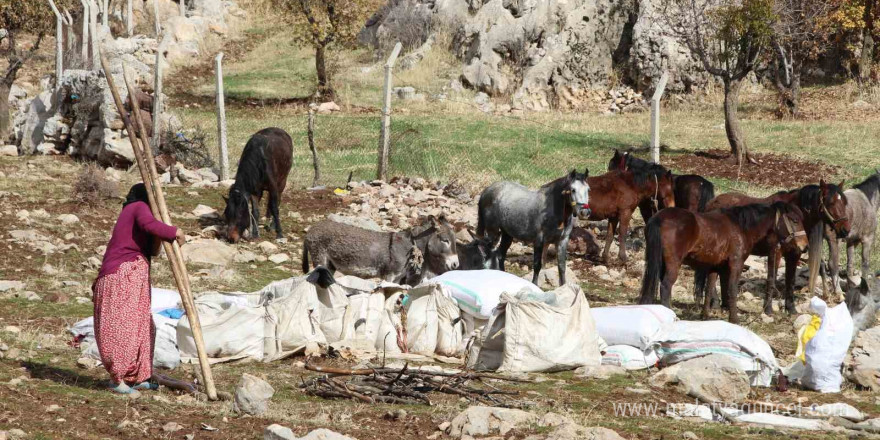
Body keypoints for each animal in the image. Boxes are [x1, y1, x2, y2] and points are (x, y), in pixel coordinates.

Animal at [636, 203, 808, 324]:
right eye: (795, 220)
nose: (805, 246)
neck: (740, 227)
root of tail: (659, 218)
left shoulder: (715, 266)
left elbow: (709, 289)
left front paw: (705, 316)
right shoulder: (736, 264)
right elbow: (731, 290)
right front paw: (734, 319)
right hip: (673, 263)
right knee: (666, 286)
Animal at [696, 180, 848, 312]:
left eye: (844, 202)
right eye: (831, 202)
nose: (845, 230)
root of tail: (710, 204)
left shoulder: (794, 255)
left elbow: (790, 280)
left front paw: (790, 309)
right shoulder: (775, 253)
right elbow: (771, 279)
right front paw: (768, 309)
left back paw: (725, 304)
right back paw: (716, 303)